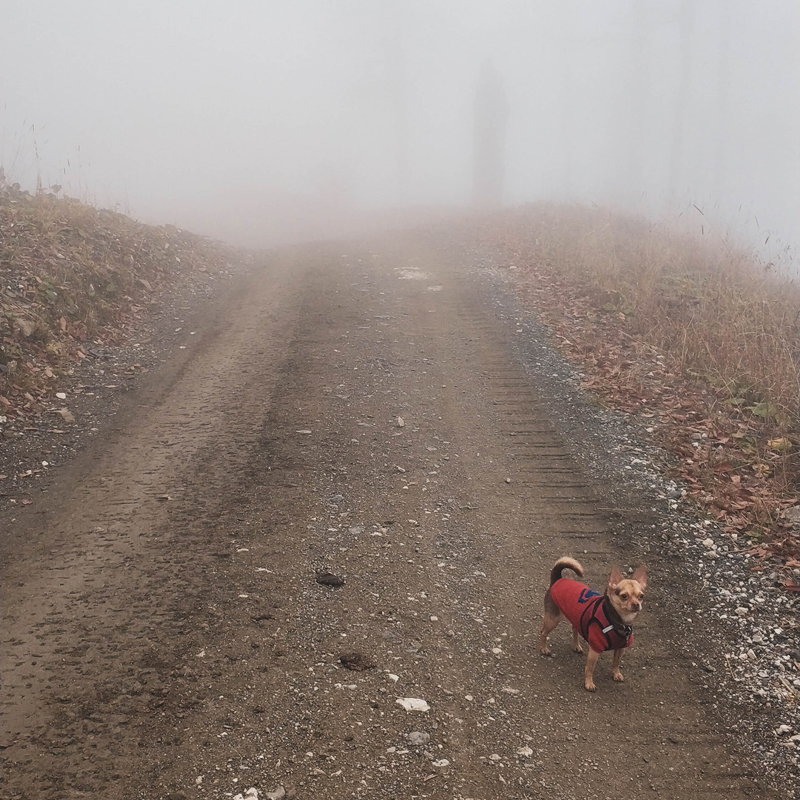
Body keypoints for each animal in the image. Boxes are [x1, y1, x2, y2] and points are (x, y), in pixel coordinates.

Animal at [536, 556, 644, 692]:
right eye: (624, 596)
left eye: (641, 596)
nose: (636, 604)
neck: (619, 621)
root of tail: (557, 580)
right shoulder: (595, 649)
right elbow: (590, 668)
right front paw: (588, 683)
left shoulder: (621, 648)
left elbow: (616, 662)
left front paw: (616, 674)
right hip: (552, 620)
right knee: (543, 632)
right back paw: (543, 649)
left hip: (575, 618)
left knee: (574, 629)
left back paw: (576, 646)